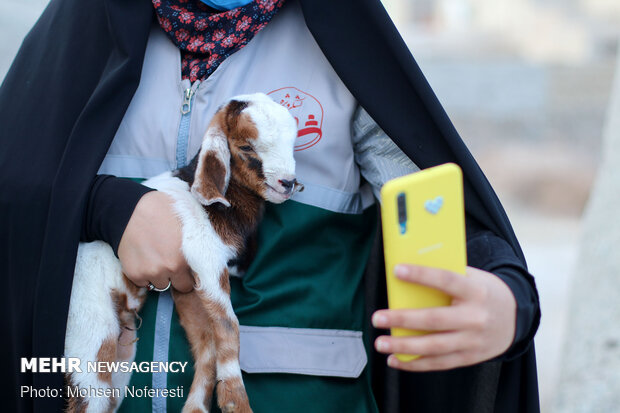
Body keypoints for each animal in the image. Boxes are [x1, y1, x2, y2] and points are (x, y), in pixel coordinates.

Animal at [65, 93, 300, 412]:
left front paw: (196, 406)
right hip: (89, 334)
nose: (287, 183)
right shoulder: (205, 257)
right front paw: (236, 401)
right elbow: (228, 325)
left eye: (292, 141)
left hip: (122, 354)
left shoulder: (187, 284)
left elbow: (206, 342)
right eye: (245, 147)